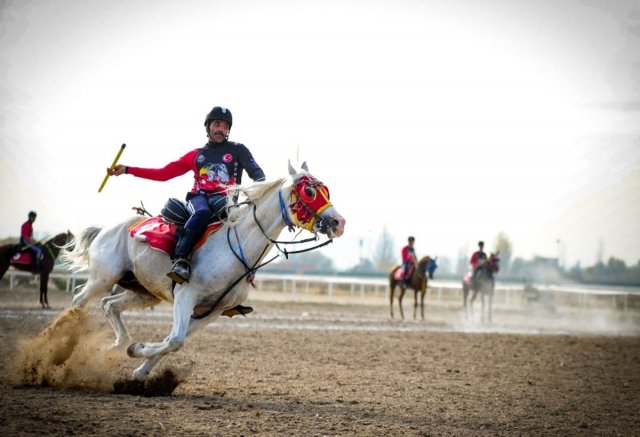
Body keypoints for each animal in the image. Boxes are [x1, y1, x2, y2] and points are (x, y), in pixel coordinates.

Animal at [64, 162, 344, 380]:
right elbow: (175, 340)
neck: (234, 249)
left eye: (326, 190)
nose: (339, 222)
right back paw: (65, 342)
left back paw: (118, 344)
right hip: (104, 277)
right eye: (309, 191)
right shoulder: (186, 295)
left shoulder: (212, 311)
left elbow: (173, 341)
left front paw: (140, 367)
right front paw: (137, 350)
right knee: (79, 299)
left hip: (143, 292)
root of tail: (106, 228)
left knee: (109, 305)